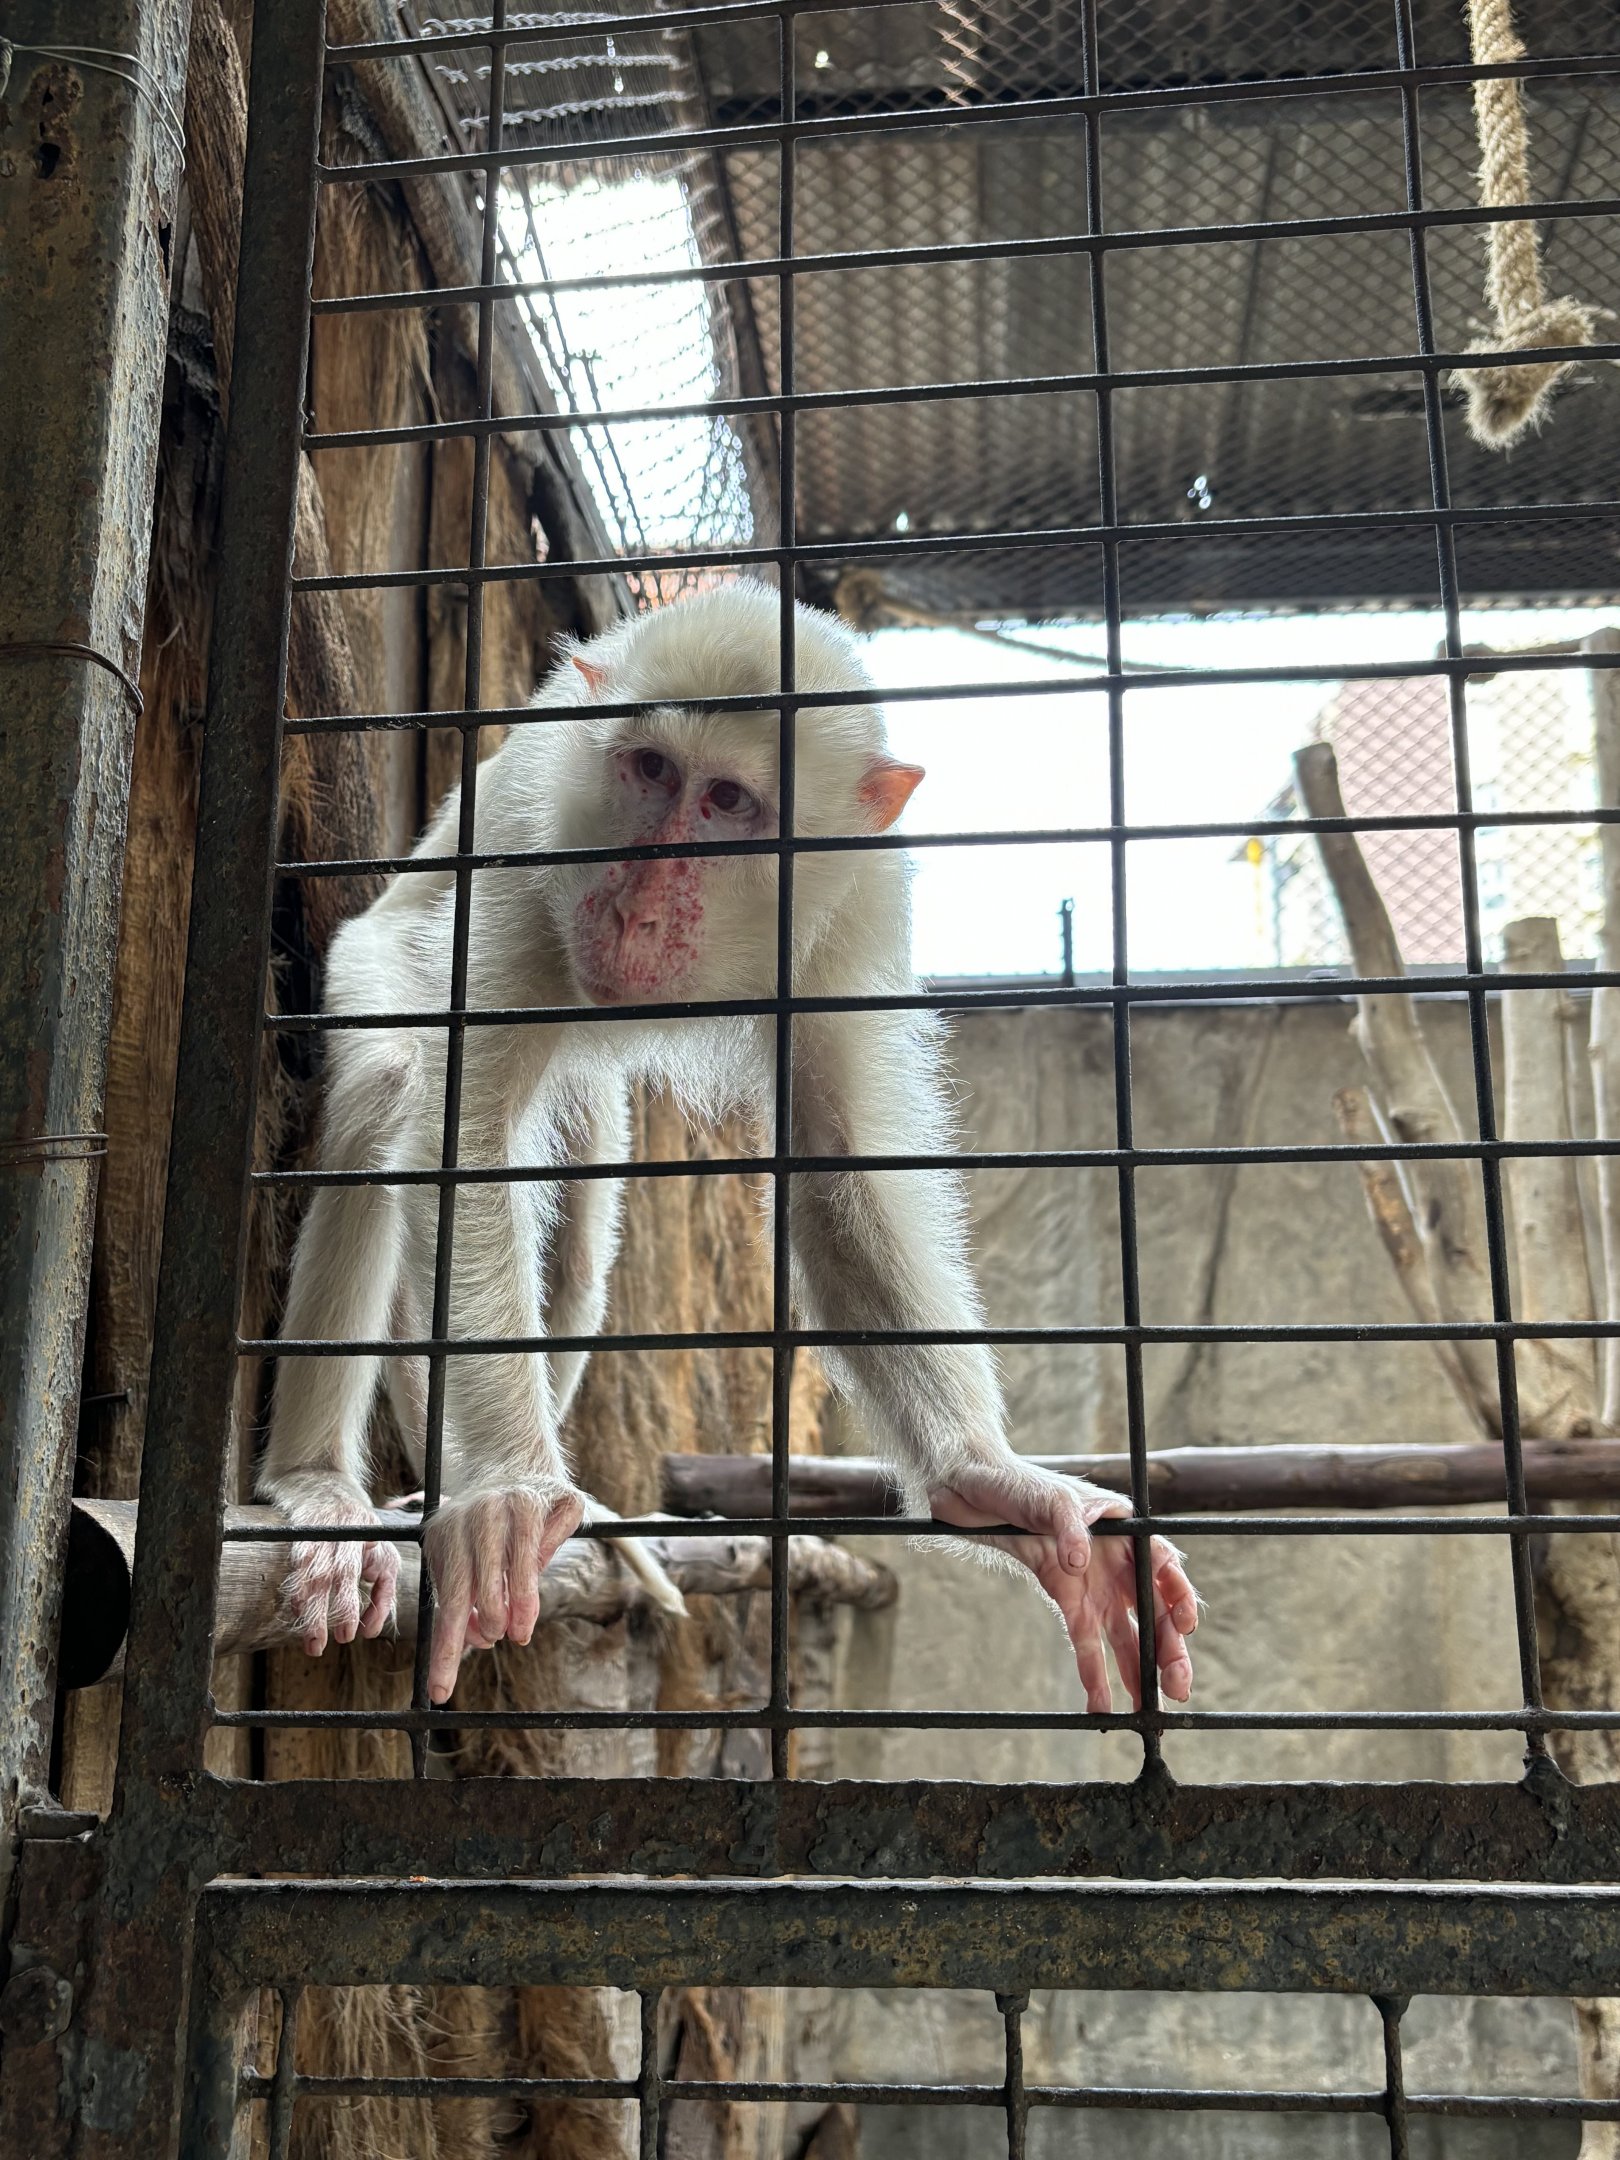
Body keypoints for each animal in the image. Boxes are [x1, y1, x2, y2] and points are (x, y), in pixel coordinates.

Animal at [260, 581, 1199, 1709]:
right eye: (651, 771)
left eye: (726, 802)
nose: (637, 904)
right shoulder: (541, 854)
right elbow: (461, 1131)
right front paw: (514, 1488)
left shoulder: (852, 899)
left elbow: (837, 1163)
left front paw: (989, 1480)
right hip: (374, 956)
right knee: (392, 1083)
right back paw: (320, 1486)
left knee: (578, 1241)